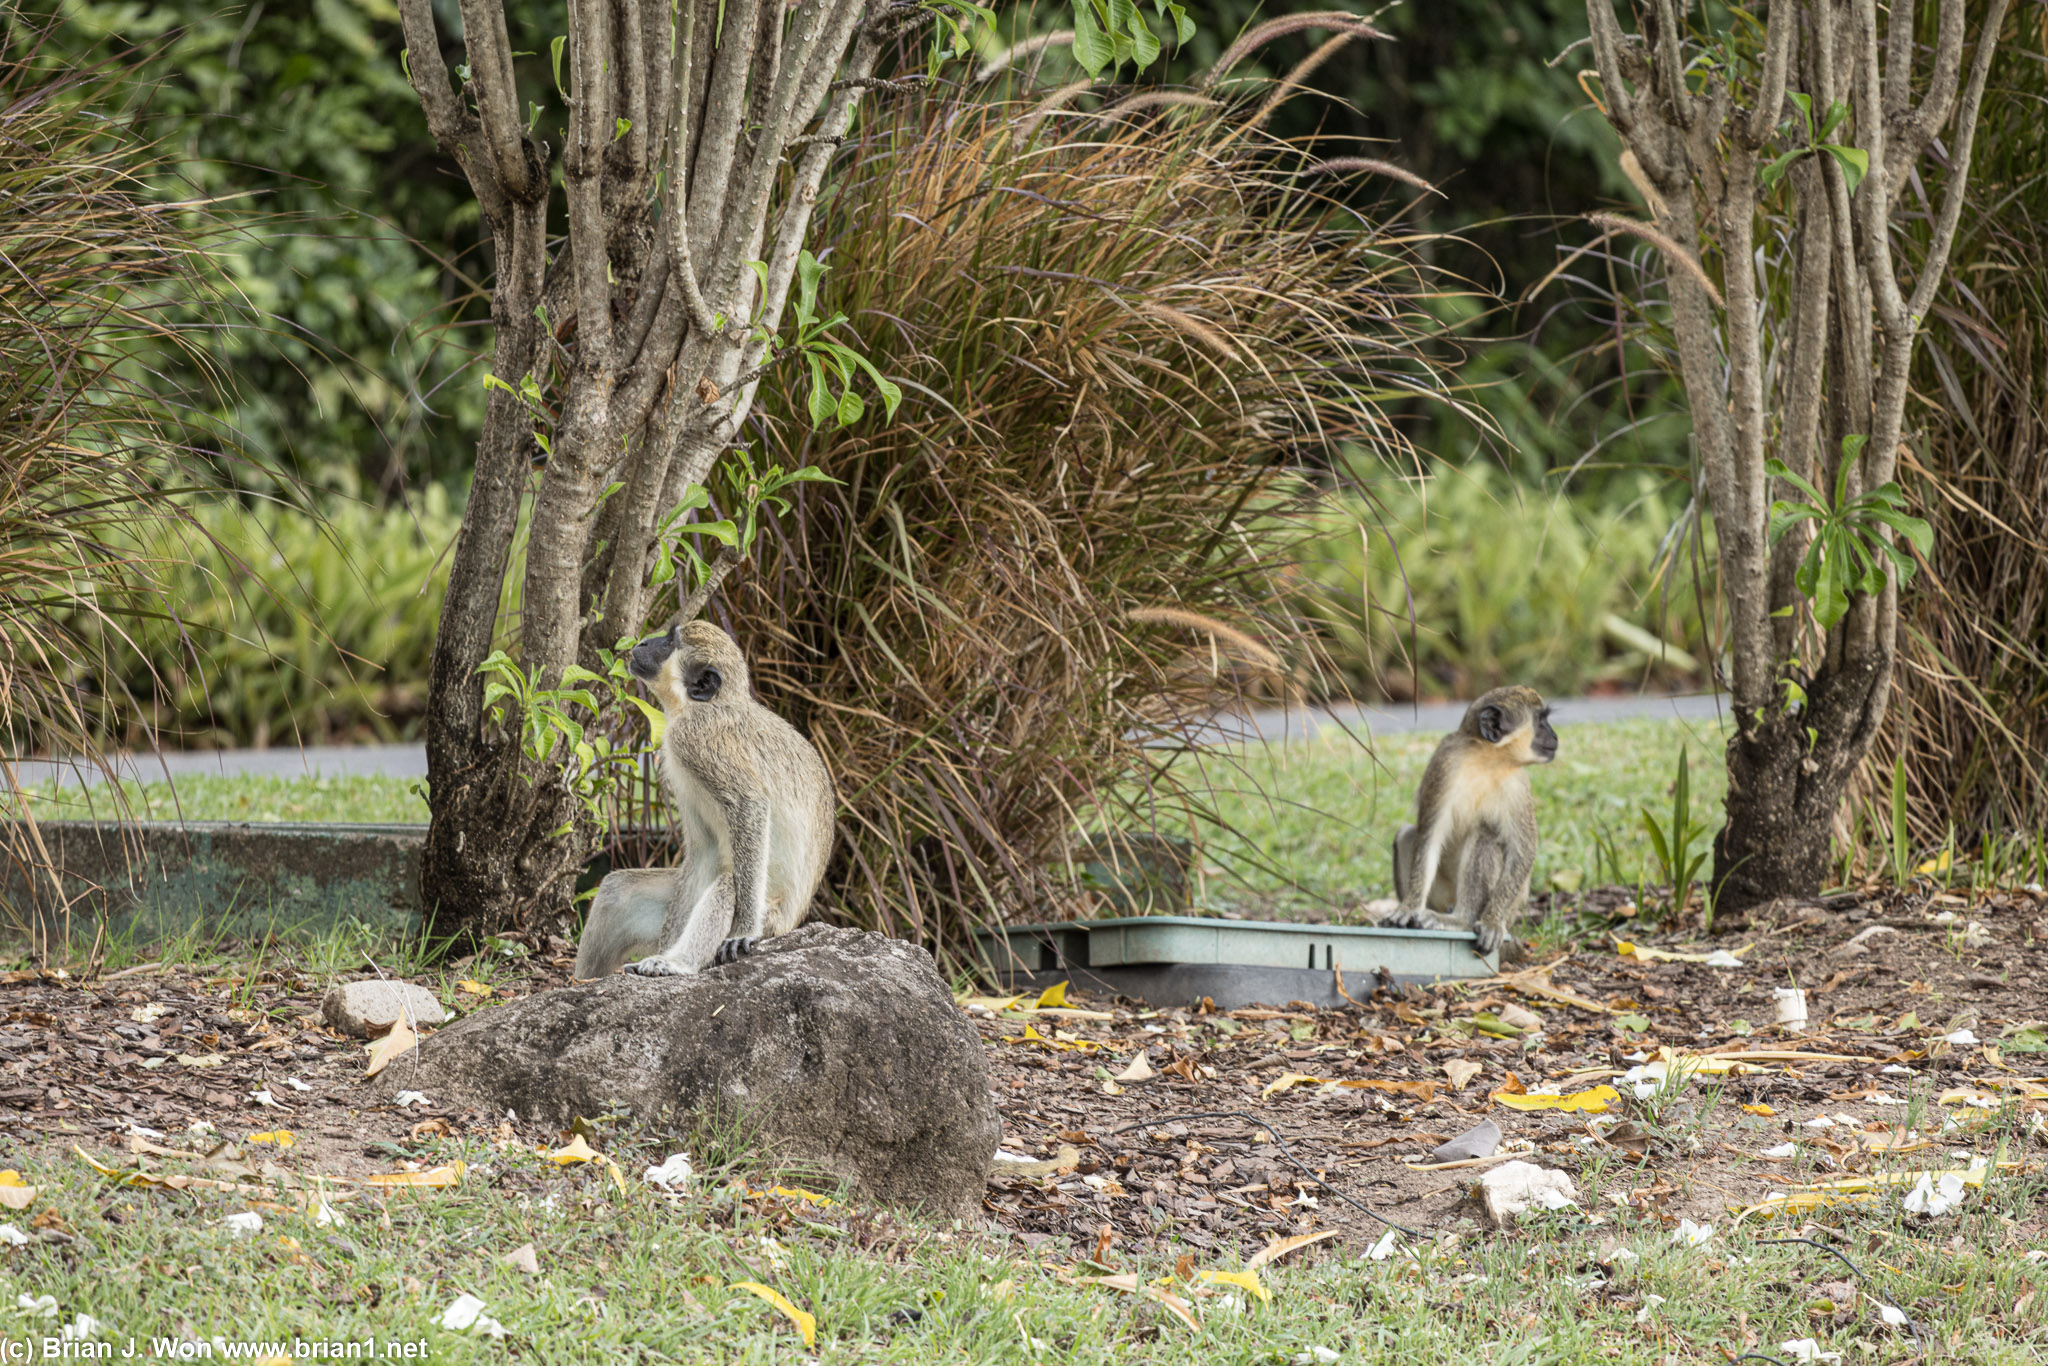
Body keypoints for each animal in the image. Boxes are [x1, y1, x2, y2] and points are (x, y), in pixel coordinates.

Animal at [573, 618, 835, 983]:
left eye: (669, 642)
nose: (643, 642)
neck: (698, 706)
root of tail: (793, 921)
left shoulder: (694, 737)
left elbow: (749, 803)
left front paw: (743, 931)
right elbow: (704, 847)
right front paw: (664, 946)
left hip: (772, 916)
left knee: (728, 886)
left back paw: (677, 961)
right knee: (617, 891)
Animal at [1384, 684, 1556, 962]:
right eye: (1541, 722)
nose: (1555, 736)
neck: (1487, 759)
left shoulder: (1518, 785)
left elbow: (1523, 851)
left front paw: (1492, 922)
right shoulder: (1444, 765)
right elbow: (1429, 837)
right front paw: (1409, 907)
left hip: (1510, 912)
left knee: (1485, 835)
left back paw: (1462, 921)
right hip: (1443, 895)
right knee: (1407, 835)